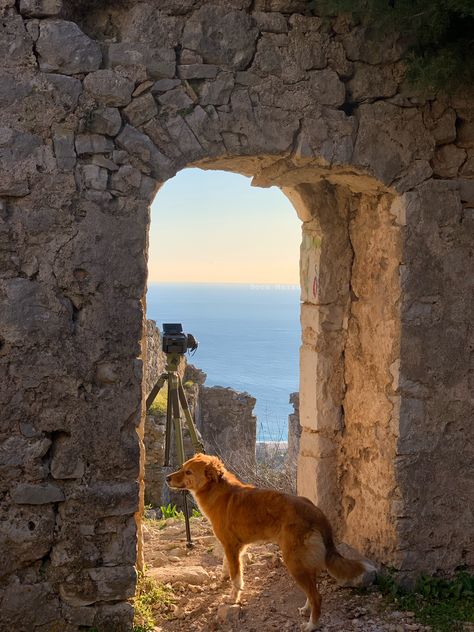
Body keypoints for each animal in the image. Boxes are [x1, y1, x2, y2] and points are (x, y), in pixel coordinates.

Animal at [167, 454, 374, 628]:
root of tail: (316, 512)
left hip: (293, 562)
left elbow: (236, 577)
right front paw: (223, 578)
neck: (218, 491)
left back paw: (311, 625)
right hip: (303, 561)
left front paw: (234, 598)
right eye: (182, 467)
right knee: (312, 591)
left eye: (188, 471)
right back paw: (306, 609)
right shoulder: (230, 546)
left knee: (317, 597)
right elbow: (227, 566)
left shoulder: (233, 547)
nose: (167, 478)